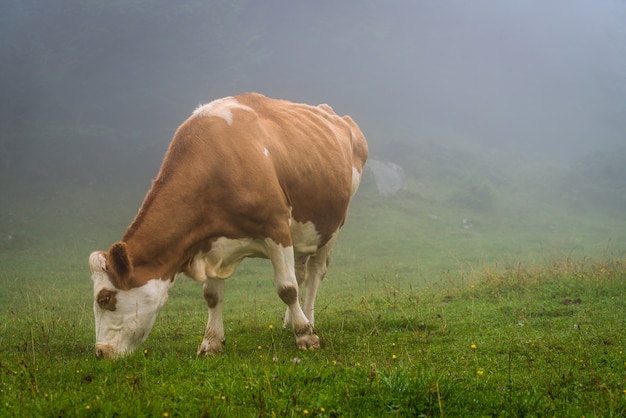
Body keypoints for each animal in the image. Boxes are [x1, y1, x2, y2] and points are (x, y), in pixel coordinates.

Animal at [90, 93, 368, 358]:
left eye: (104, 298)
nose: (101, 352)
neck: (216, 163)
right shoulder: (210, 241)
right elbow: (212, 296)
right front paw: (211, 342)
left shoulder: (276, 227)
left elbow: (287, 288)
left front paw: (305, 336)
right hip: (301, 230)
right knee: (300, 271)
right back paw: (290, 321)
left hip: (331, 225)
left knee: (314, 273)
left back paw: (308, 319)